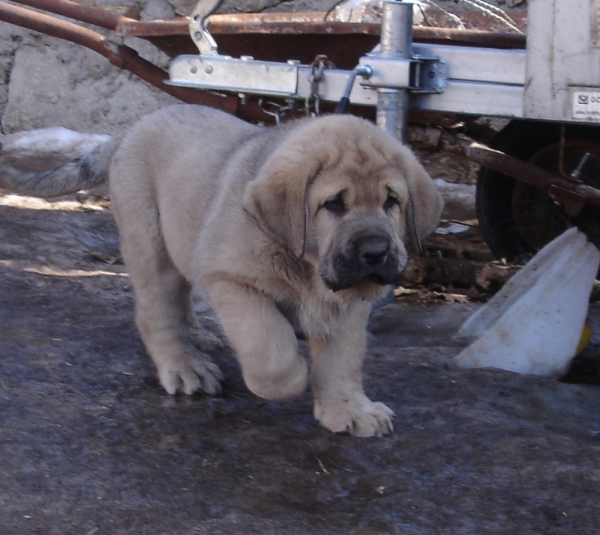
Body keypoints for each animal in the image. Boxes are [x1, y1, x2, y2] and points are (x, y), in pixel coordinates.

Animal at [2, 107, 442, 438]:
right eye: (334, 204)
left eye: (391, 201)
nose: (375, 252)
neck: (307, 268)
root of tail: (132, 129)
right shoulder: (230, 280)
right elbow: (270, 352)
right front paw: (296, 377)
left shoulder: (349, 304)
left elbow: (343, 360)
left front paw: (349, 409)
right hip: (150, 241)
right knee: (156, 312)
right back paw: (185, 366)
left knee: (179, 297)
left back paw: (196, 335)